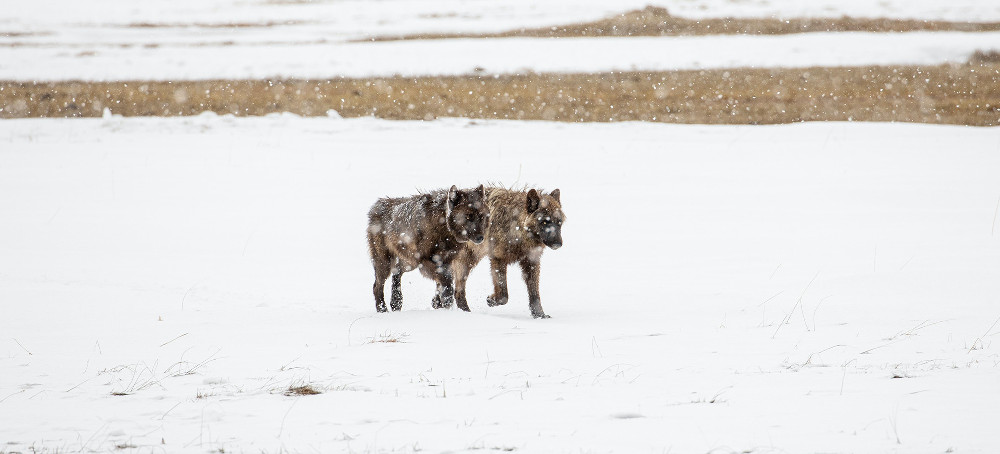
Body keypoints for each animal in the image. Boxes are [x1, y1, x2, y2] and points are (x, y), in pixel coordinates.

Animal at [454, 187, 565, 319]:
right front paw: (491, 300)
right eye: (544, 222)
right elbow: (503, 296)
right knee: (457, 290)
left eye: (559, 222)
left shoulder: (532, 263)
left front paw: (540, 316)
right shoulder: (498, 259)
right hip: (465, 262)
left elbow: (535, 294)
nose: (558, 244)